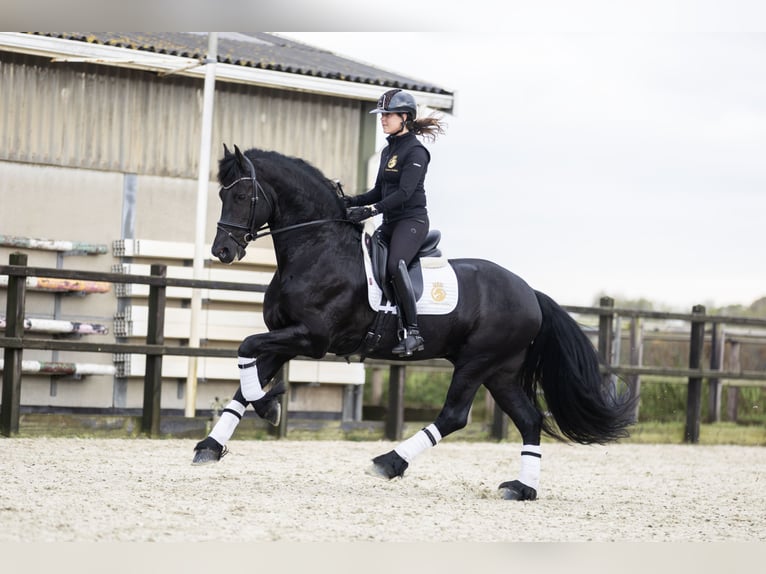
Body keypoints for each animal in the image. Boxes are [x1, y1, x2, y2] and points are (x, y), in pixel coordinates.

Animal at [195, 145, 640, 504]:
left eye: (242, 195)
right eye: (221, 194)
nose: (223, 250)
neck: (316, 248)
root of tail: (530, 292)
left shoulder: (310, 338)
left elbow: (246, 348)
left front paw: (268, 406)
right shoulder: (284, 336)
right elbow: (245, 379)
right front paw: (214, 443)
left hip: (477, 361)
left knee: (455, 415)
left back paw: (389, 462)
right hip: (501, 371)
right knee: (530, 420)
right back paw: (521, 488)